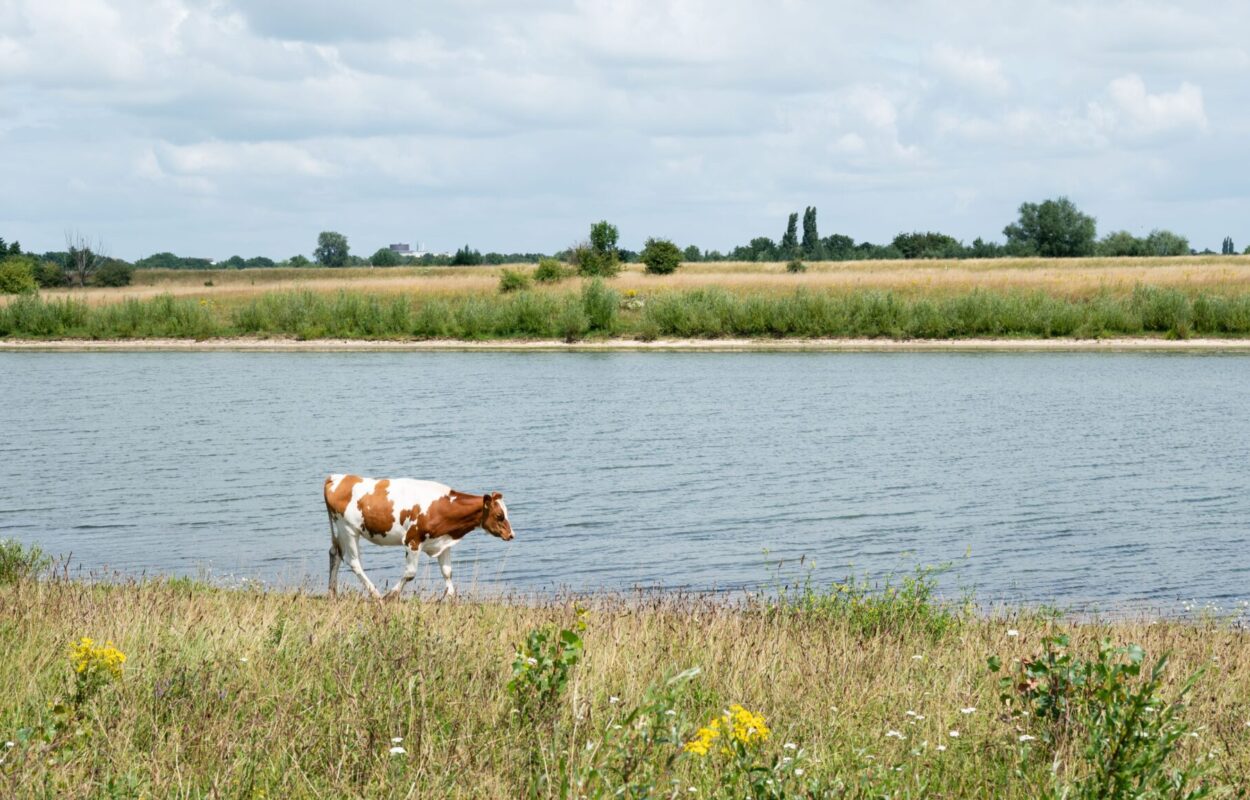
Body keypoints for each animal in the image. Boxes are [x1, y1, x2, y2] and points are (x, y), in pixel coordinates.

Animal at [323, 474, 514, 600]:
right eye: (499, 515)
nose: (511, 534)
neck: (441, 507)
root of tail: (337, 477)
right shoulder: (412, 540)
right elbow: (410, 573)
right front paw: (390, 595)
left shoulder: (442, 542)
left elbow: (447, 572)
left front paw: (451, 598)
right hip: (348, 529)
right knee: (353, 561)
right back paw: (376, 594)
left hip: (340, 531)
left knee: (335, 553)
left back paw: (332, 593)